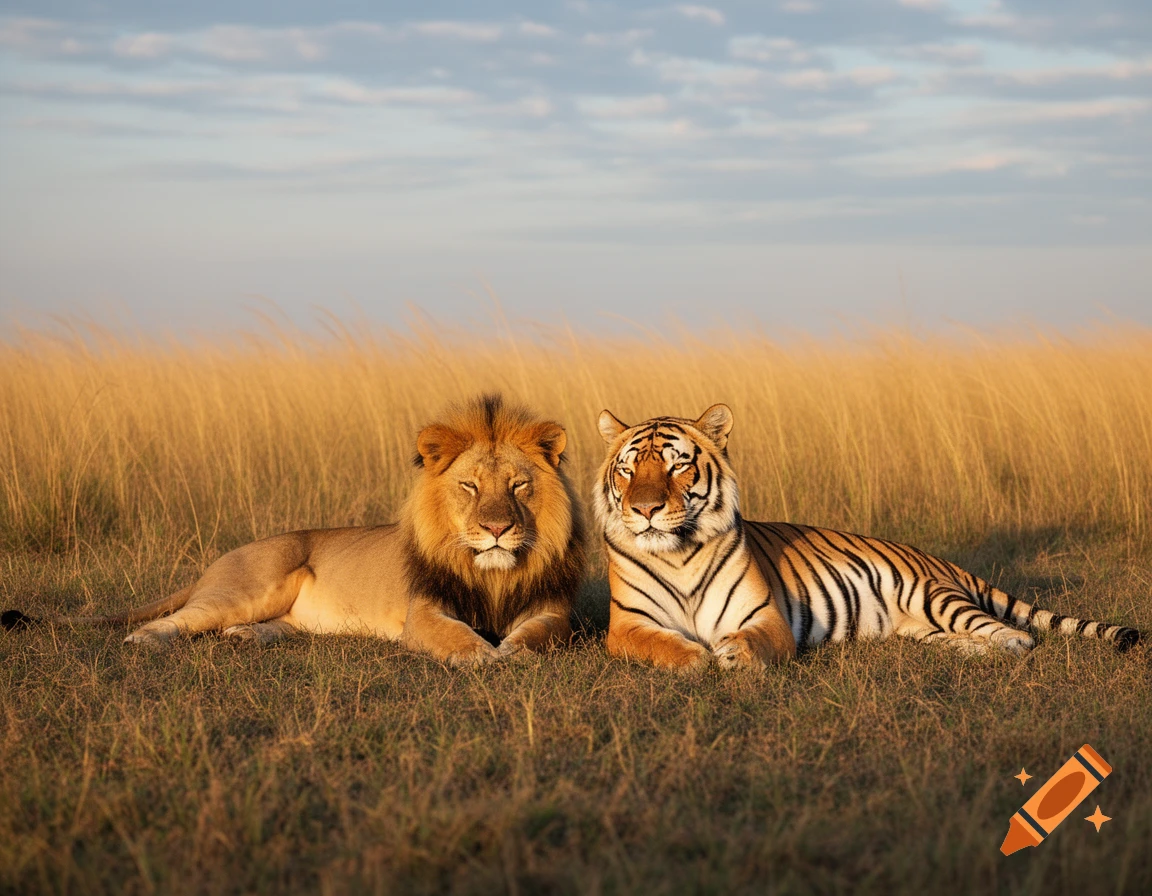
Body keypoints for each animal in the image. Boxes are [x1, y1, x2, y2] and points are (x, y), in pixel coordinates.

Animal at [1, 395, 586, 665]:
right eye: (469, 486)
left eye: (518, 486)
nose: (496, 528)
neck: (491, 574)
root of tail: (220, 560)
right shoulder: (423, 614)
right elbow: (454, 635)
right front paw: (484, 654)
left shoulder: (552, 610)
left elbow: (540, 634)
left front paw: (511, 650)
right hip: (249, 585)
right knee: (171, 621)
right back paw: (148, 640)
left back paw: (245, 637)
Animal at [595, 403, 1142, 671]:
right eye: (628, 470)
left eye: (677, 465)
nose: (645, 510)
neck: (678, 553)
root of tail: (938, 559)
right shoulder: (628, 626)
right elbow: (658, 644)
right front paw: (694, 657)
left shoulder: (764, 617)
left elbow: (755, 641)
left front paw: (731, 656)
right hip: (916, 625)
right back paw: (960, 653)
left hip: (931, 598)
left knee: (1019, 636)